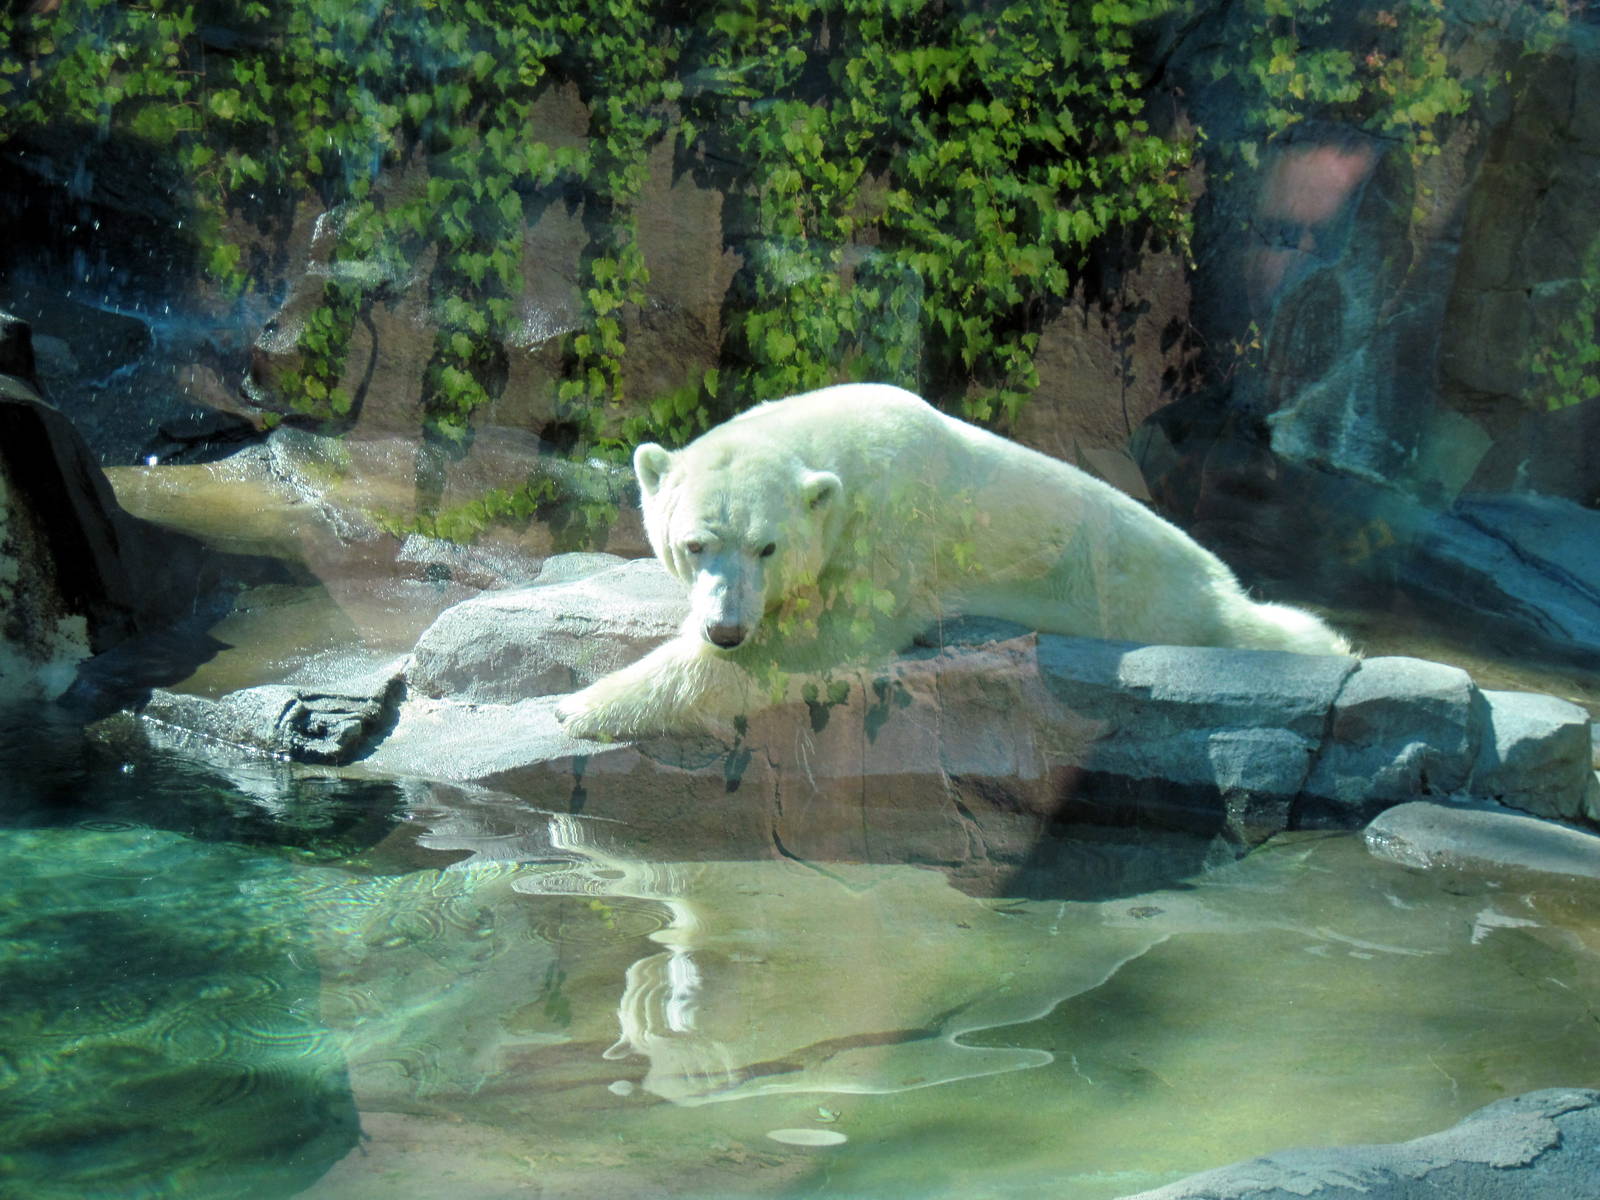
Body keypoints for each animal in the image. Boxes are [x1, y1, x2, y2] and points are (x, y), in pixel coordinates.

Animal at [555, 383, 1350, 740]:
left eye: (767, 546)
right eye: (694, 545)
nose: (725, 627)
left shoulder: (887, 529)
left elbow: (817, 639)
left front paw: (580, 704)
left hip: (1158, 596)